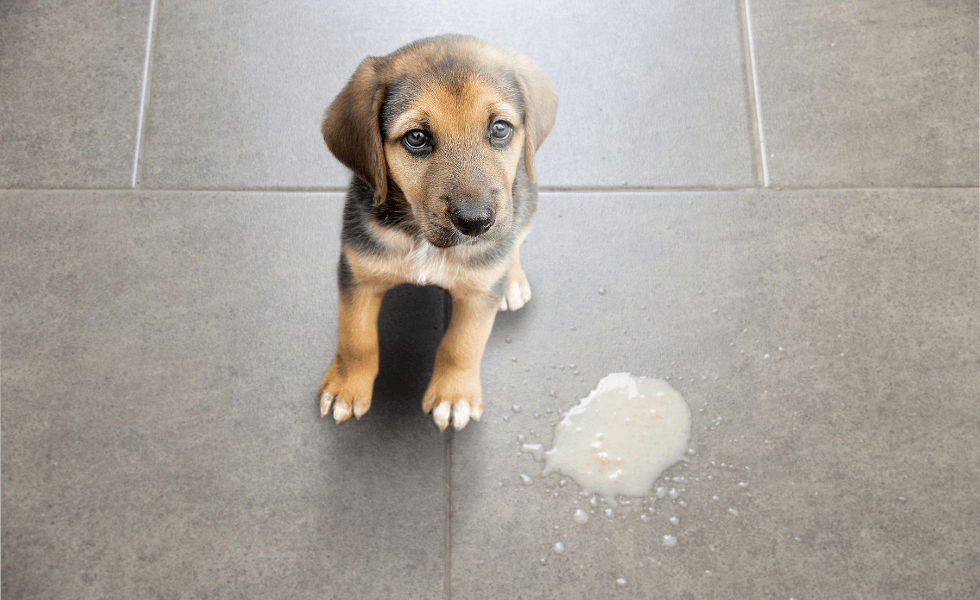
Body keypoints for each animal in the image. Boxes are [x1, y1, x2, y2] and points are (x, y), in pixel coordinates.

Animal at [318, 35, 556, 432]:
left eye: (500, 129)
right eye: (416, 138)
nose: (476, 222)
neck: (422, 239)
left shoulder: (478, 293)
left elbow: (462, 344)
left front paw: (453, 395)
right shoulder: (358, 273)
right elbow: (356, 337)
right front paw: (346, 387)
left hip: (525, 203)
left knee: (514, 240)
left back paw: (512, 280)